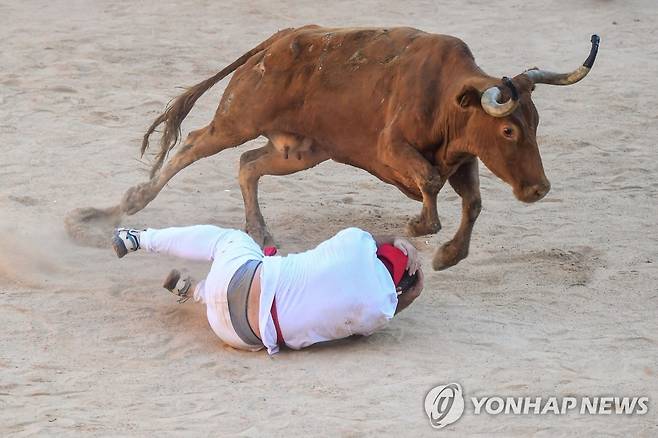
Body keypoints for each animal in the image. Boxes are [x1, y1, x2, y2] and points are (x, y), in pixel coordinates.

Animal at [115, 25, 596, 270]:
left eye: (536, 122)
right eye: (509, 131)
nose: (539, 188)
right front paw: (419, 227)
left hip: (300, 151)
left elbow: (472, 202)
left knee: (248, 164)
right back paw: (132, 200)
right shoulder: (391, 149)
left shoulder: (463, 158)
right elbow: (429, 180)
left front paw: (448, 255)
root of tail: (276, 40)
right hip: (239, 119)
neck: (445, 97)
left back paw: (260, 231)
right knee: (194, 145)